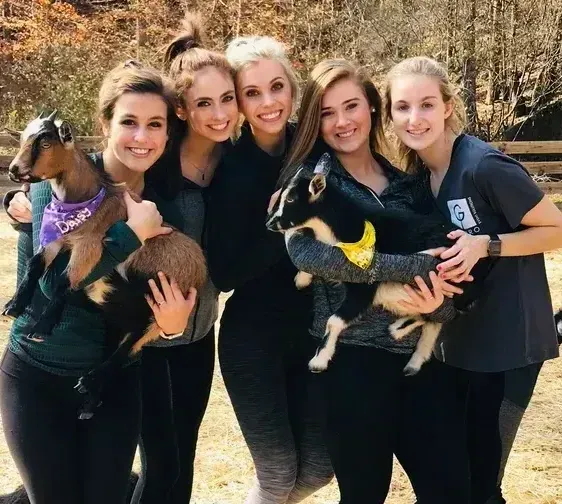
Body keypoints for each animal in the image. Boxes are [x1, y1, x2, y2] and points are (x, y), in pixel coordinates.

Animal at [4, 112, 206, 420]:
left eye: (46, 142)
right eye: (25, 136)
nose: (15, 170)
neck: (84, 200)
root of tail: (202, 270)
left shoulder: (89, 245)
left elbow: (63, 281)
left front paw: (41, 328)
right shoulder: (58, 239)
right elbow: (35, 264)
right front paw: (14, 305)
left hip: (161, 308)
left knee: (129, 349)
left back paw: (88, 382)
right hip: (118, 319)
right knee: (119, 347)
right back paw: (89, 403)